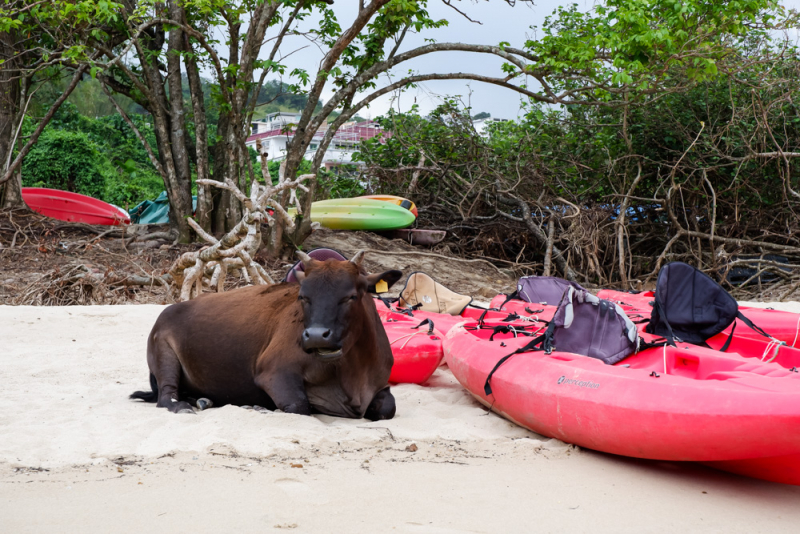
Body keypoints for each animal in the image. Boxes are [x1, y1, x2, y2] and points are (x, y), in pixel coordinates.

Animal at [133, 251, 406, 422]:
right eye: (302, 296)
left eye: (351, 296)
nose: (317, 336)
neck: (350, 374)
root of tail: (171, 308)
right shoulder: (274, 371)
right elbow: (299, 405)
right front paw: (257, 406)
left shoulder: (380, 384)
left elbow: (388, 407)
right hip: (162, 350)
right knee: (166, 395)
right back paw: (184, 405)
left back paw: (203, 400)